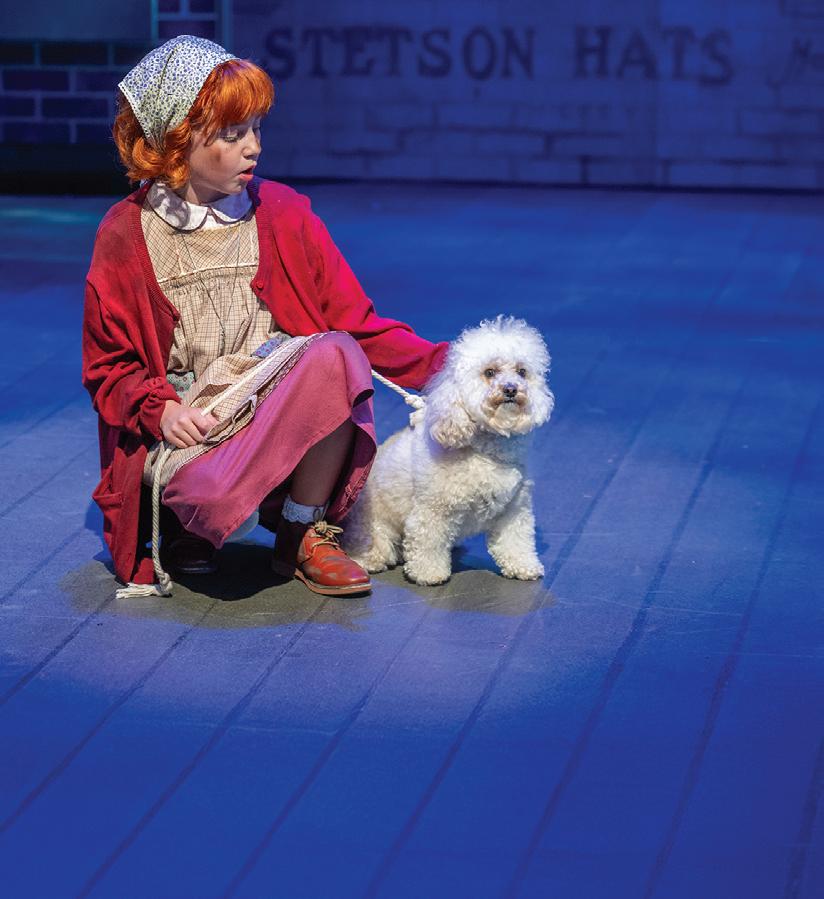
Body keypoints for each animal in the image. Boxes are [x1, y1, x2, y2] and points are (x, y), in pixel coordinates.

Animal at [343, 316, 554, 585]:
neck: (485, 451)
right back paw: (369, 558)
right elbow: (428, 542)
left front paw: (523, 566)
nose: (511, 389)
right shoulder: (433, 510)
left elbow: (515, 542)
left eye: (521, 371)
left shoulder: (514, 510)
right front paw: (429, 573)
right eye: (489, 372)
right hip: (372, 525)